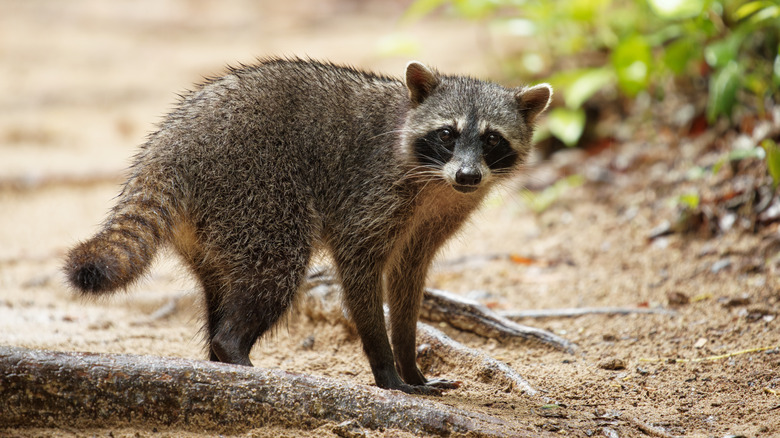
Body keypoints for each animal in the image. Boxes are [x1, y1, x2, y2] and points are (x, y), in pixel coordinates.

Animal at [65, 56, 556, 396]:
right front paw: (386, 367)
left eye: (491, 139)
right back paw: (232, 347)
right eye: (448, 134)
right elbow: (358, 271)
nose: (468, 176)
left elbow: (408, 283)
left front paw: (409, 359)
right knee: (274, 272)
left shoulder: (434, 219)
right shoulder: (373, 193)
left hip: (215, 225)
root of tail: (168, 146)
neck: (436, 182)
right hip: (255, 193)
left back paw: (217, 359)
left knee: (223, 289)